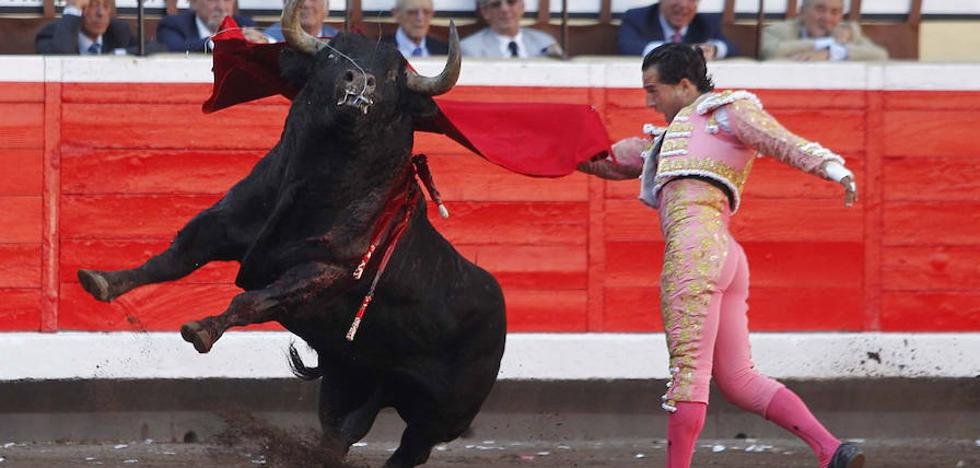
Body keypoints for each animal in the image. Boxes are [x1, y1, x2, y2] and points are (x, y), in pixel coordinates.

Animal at [75, 2, 506, 464]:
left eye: (392, 76)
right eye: (332, 54)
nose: (361, 82)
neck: (315, 185)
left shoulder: (320, 271)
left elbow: (251, 300)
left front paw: (202, 330)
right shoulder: (224, 222)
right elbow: (173, 259)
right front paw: (102, 281)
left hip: (442, 415)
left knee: (410, 448)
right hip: (351, 375)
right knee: (340, 430)